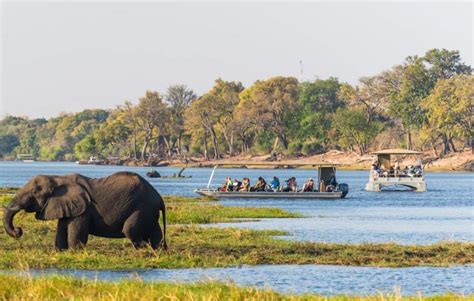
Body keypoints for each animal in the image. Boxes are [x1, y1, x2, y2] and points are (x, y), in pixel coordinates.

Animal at [2, 170, 167, 250]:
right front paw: (60, 251)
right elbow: (61, 230)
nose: (18, 230)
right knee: (154, 232)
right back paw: (159, 250)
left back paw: (145, 249)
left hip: (142, 207)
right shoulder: (67, 206)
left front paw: (75, 252)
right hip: (149, 210)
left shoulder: (84, 209)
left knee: (130, 229)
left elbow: (77, 232)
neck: (58, 178)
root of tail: (159, 198)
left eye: (34, 192)